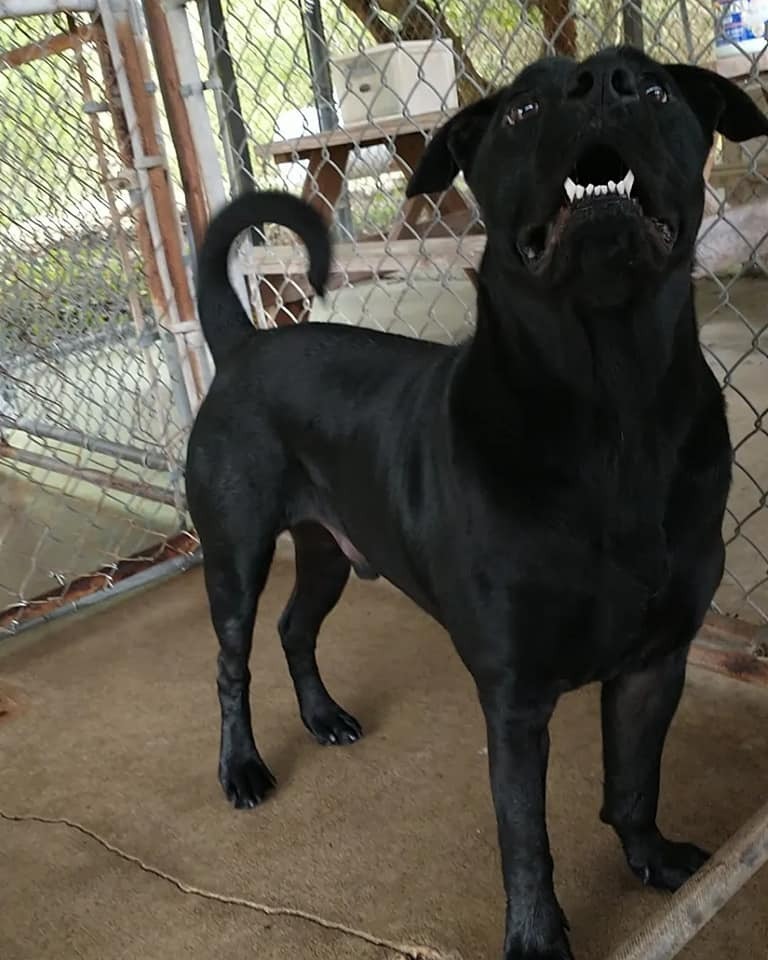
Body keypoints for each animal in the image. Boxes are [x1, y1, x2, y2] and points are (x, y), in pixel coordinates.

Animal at [186, 47, 768, 960]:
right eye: (523, 108)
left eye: (657, 87)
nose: (604, 86)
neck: (614, 408)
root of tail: (245, 342)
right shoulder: (515, 696)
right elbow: (525, 837)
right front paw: (536, 939)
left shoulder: (653, 663)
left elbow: (635, 782)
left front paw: (651, 859)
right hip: (235, 555)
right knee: (232, 661)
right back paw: (241, 768)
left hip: (330, 550)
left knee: (295, 628)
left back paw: (324, 717)